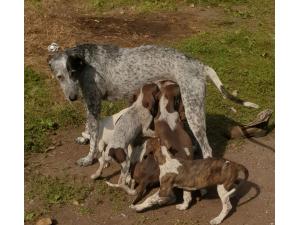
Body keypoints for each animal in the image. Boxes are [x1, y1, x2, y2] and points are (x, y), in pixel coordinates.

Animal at [47, 43, 258, 165]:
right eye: (60, 77)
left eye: (72, 73)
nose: (72, 97)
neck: (85, 60)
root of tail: (200, 65)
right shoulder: (90, 104)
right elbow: (89, 130)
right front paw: (83, 138)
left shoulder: (93, 104)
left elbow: (93, 134)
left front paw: (89, 157)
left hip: (194, 112)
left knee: (208, 150)